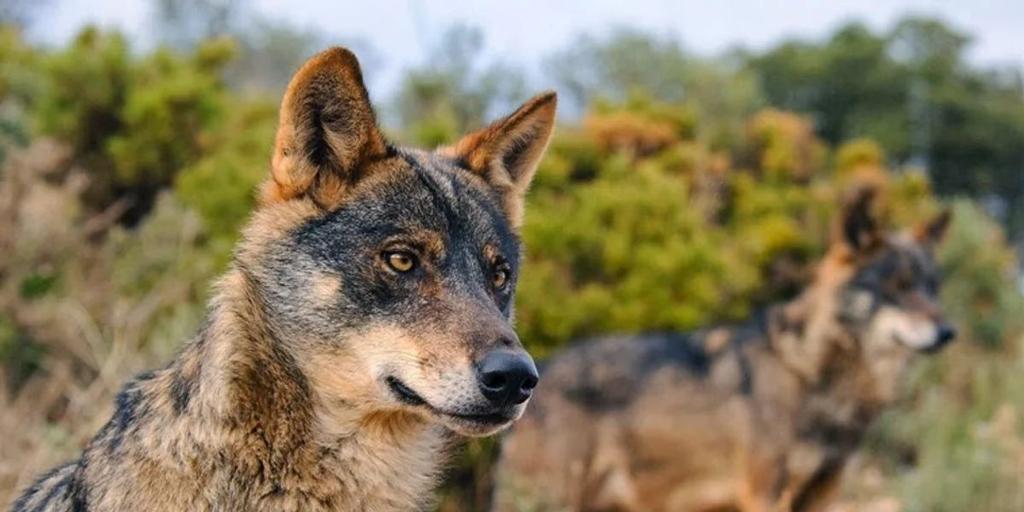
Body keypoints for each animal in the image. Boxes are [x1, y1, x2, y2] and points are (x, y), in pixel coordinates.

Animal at [497, 187, 958, 512]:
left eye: (932, 287)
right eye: (897, 287)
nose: (948, 331)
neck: (811, 373)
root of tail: (538, 371)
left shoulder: (823, 494)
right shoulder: (765, 493)